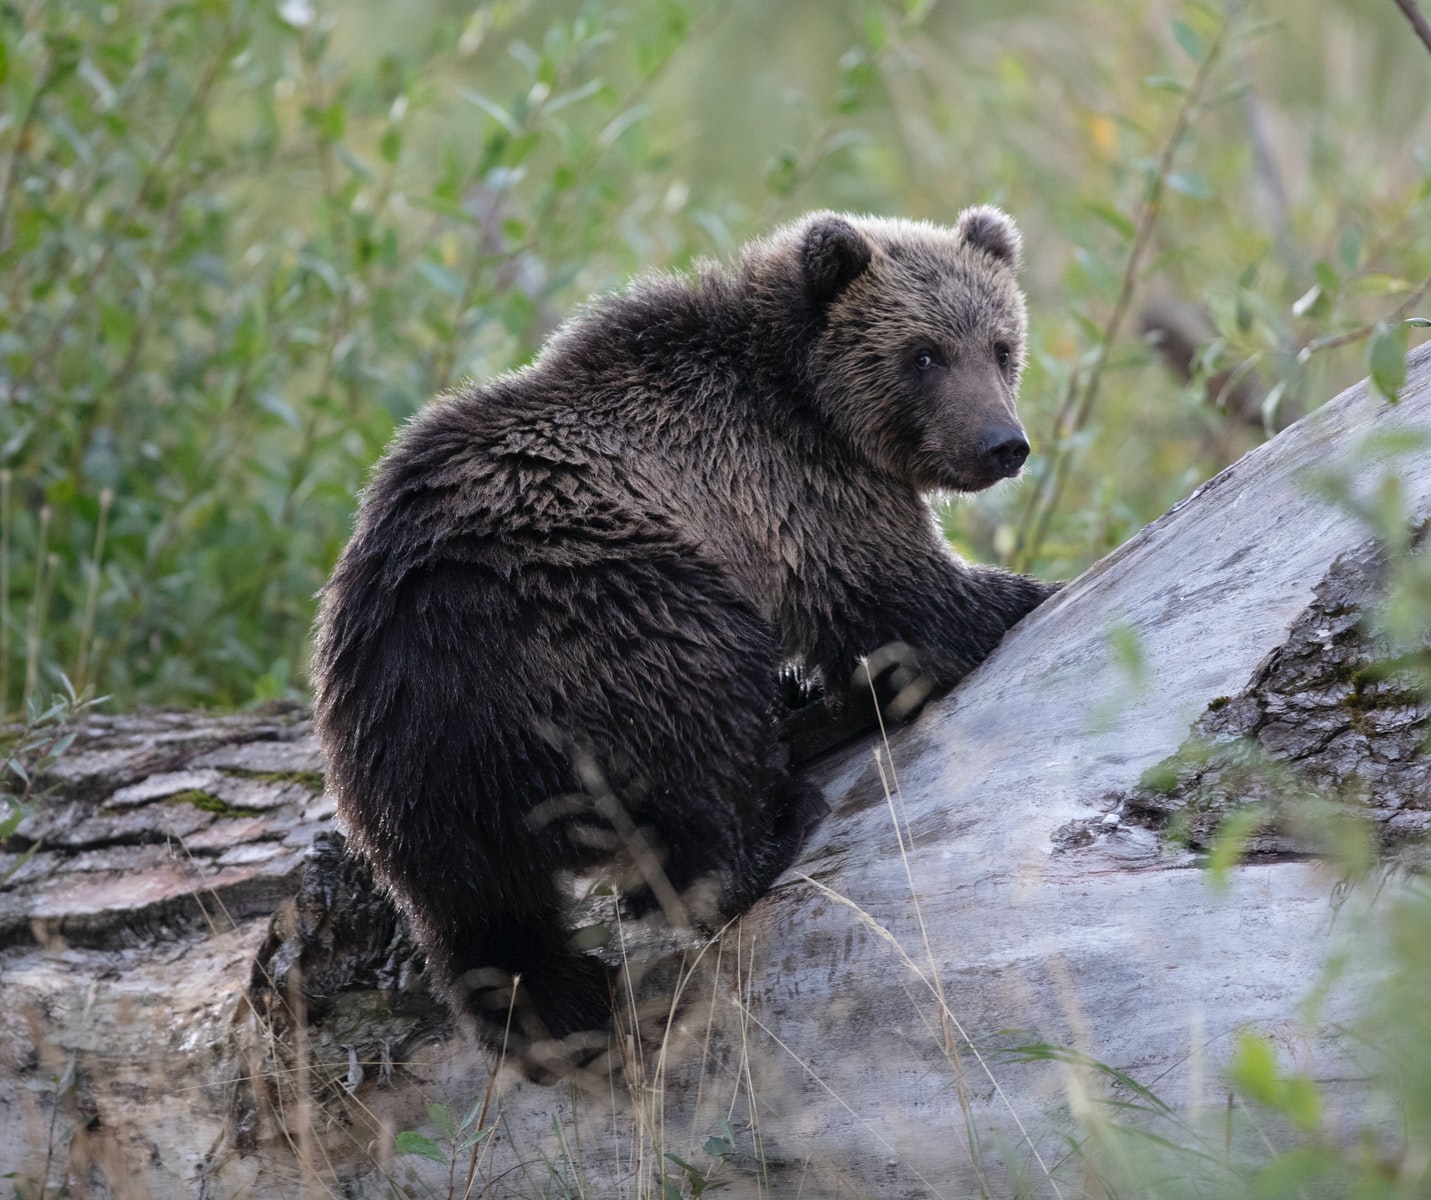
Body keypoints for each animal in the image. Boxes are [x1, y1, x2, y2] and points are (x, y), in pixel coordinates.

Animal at [307, 205, 1058, 1081]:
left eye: (1000, 345)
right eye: (924, 353)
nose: (1001, 443)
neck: (806, 394)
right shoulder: (791, 485)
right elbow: (903, 606)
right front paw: (1025, 591)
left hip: (400, 773)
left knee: (484, 917)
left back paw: (560, 1009)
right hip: (609, 610)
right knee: (699, 733)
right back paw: (773, 819)